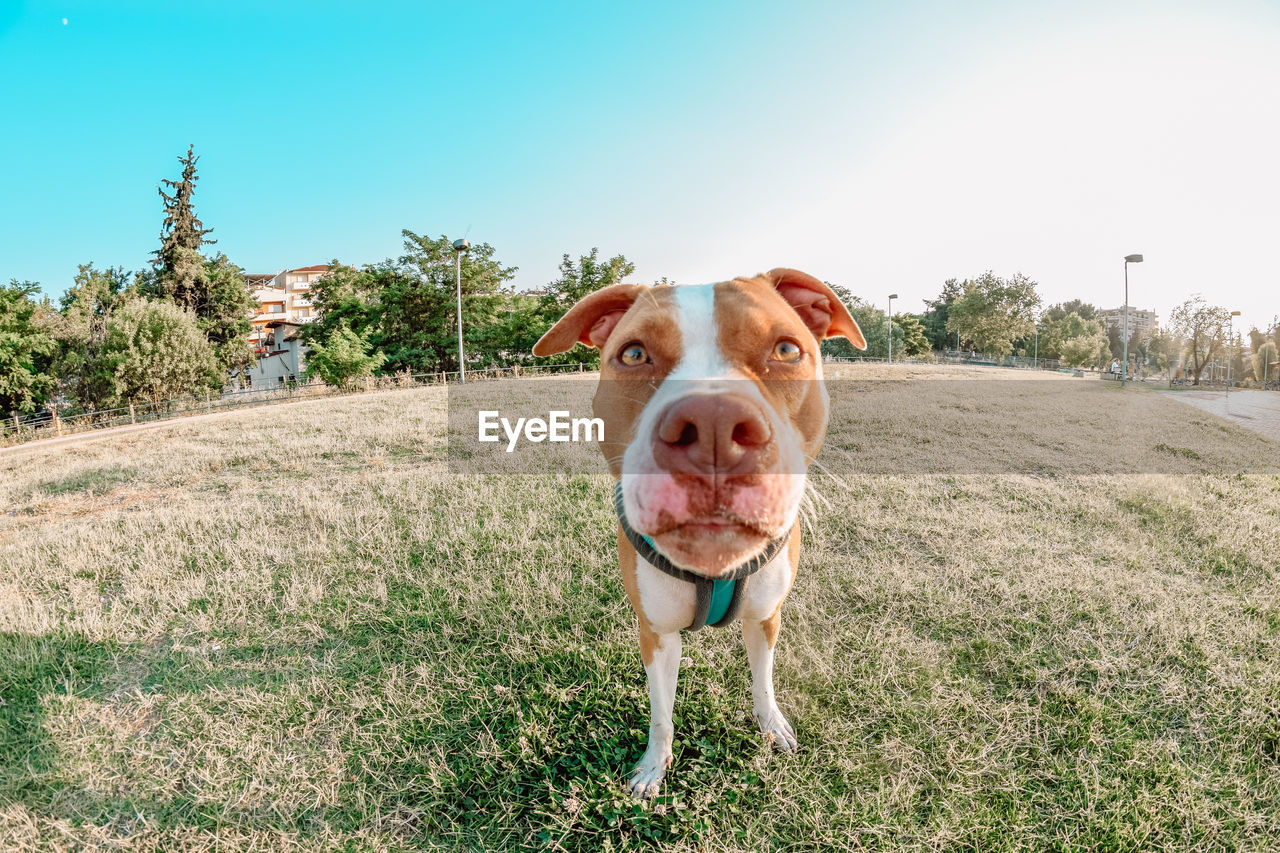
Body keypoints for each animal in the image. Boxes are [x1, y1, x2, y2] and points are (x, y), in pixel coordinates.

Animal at [529, 263, 870, 788]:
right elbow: (661, 715)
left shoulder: (765, 617)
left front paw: (771, 725)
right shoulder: (656, 635)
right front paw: (653, 766)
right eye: (634, 354)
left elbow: (763, 681)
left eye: (787, 350)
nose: (713, 426)